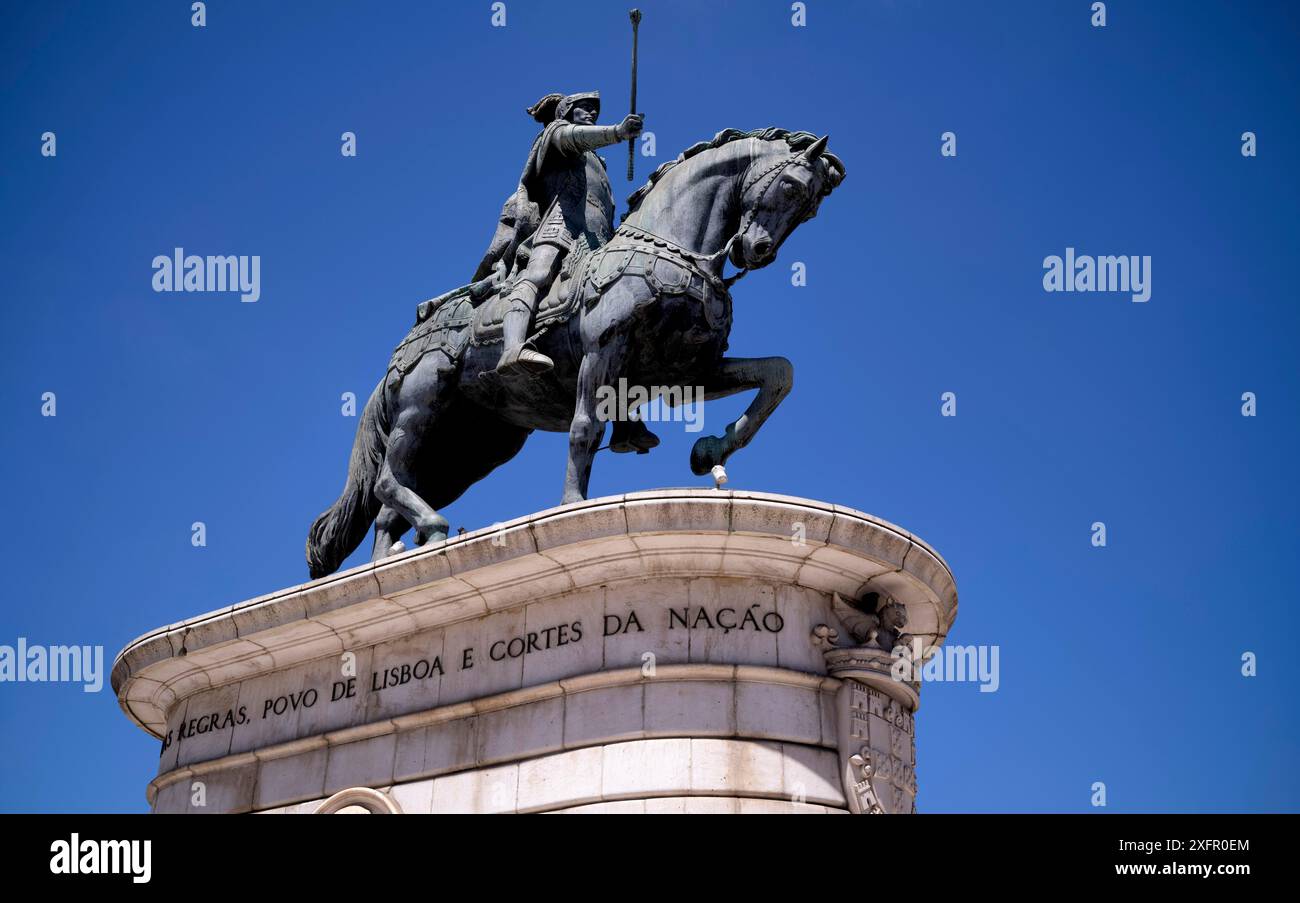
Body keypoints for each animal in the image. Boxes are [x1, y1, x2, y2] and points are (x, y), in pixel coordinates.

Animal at [308, 127, 847, 579]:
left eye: (811, 209)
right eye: (792, 188)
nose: (755, 251)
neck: (672, 249)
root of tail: (406, 342)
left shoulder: (688, 371)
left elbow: (779, 374)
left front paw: (710, 448)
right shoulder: (604, 348)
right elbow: (584, 428)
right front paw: (572, 504)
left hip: (475, 442)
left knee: (387, 510)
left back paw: (386, 566)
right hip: (423, 406)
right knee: (385, 482)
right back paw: (430, 531)